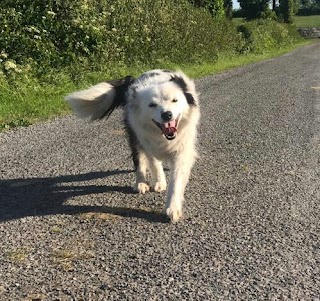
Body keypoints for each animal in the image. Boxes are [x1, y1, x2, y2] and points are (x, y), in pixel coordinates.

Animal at [65, 69, 200, 221]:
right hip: (134, 135)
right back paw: (140, 183)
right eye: (152, 105)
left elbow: (176, 180)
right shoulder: (146, 141)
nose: (167, 114)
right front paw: (159, 182)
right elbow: (154, 164)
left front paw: (172, 208)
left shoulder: (182, 149)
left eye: (175, 100)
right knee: (139, 160)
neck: (163, 137)